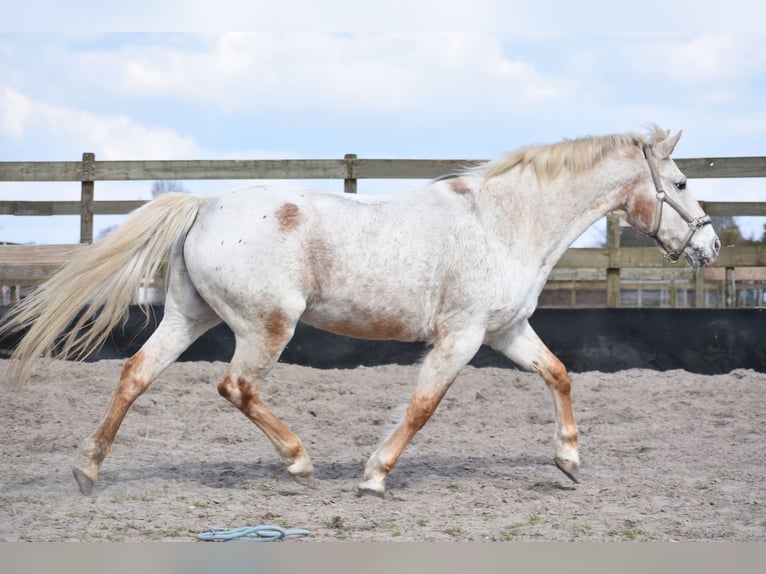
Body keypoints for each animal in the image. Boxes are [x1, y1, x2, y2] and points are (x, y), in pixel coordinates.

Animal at [0, 127, 720, 500]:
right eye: (683, 184)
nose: (710, 246)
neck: (503, 221)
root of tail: (204, 203)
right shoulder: (462, 336)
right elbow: (423, 405)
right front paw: (374, 475)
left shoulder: (507, 329)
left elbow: (560, 373)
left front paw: (568, 461)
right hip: (267, 326)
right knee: (236, 386)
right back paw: (298, 461)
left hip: (188, 316)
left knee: (136, 374)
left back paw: (88, 470)